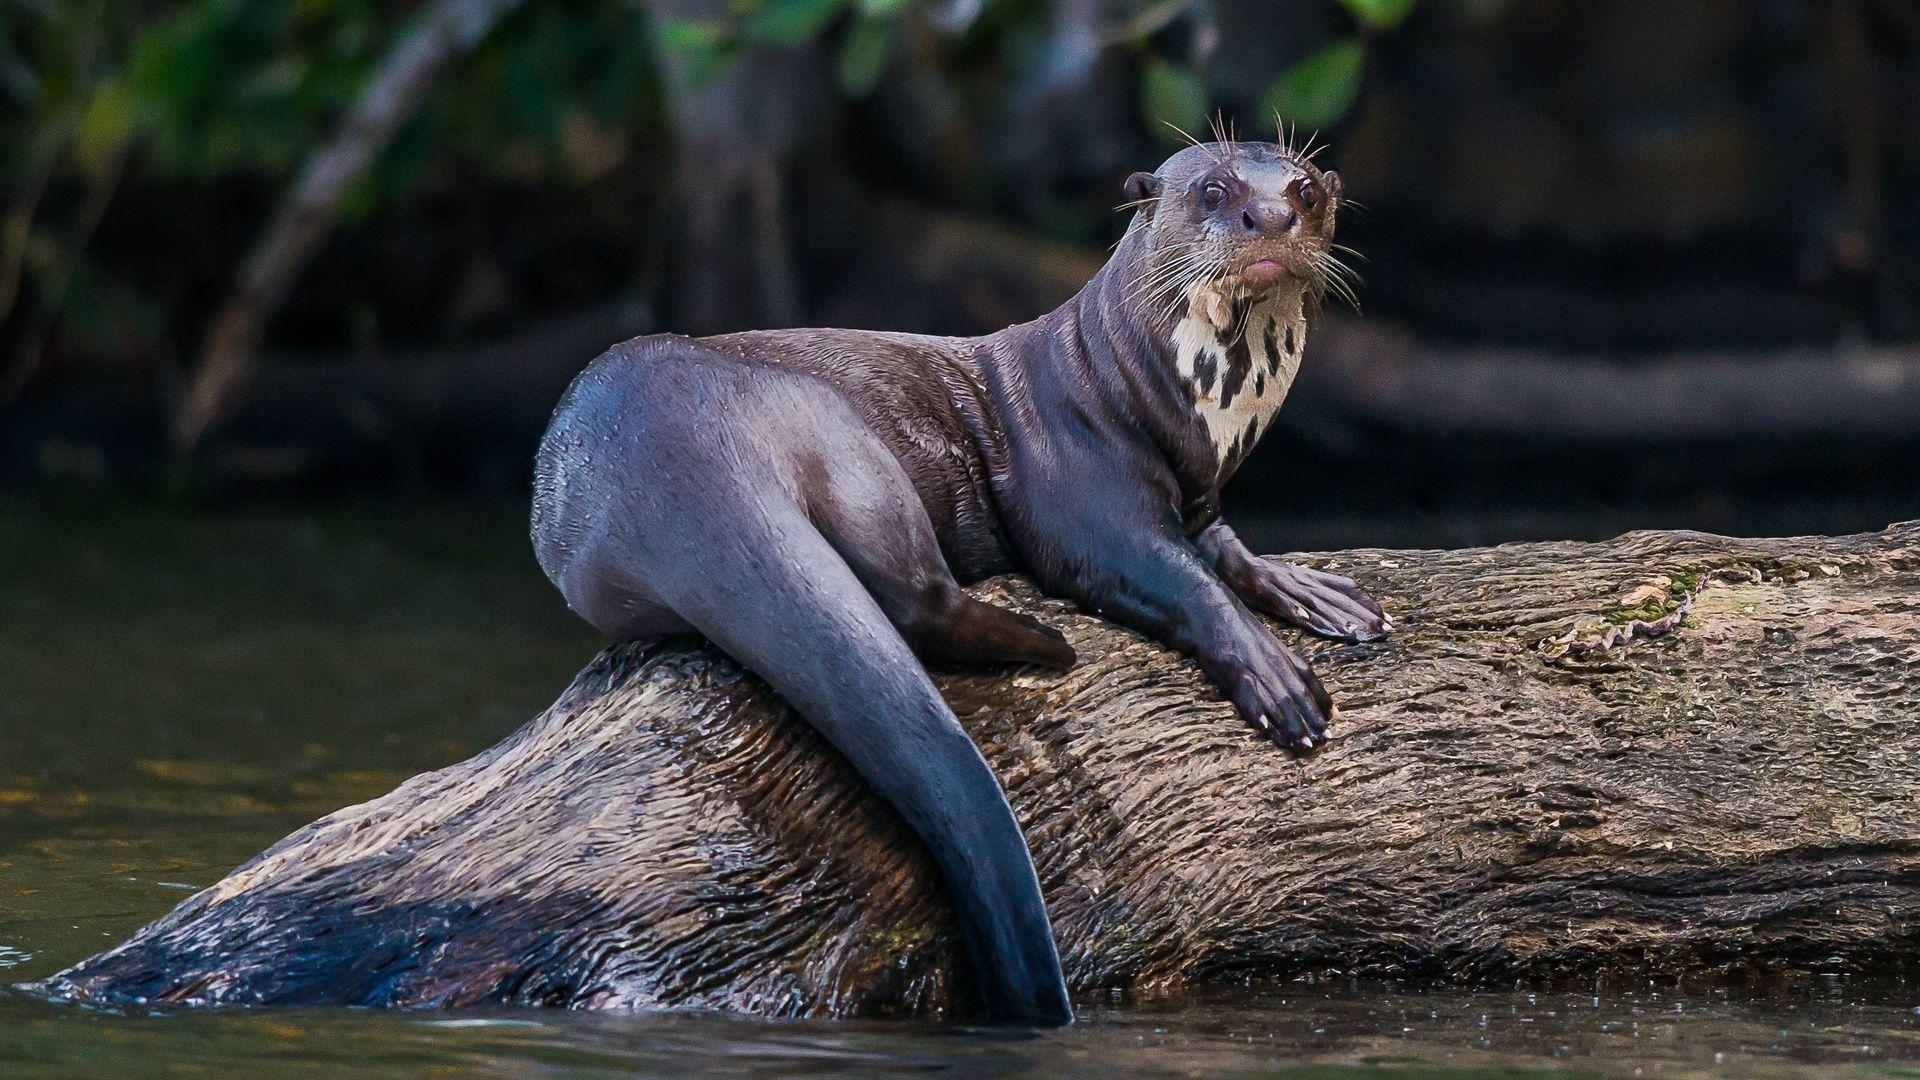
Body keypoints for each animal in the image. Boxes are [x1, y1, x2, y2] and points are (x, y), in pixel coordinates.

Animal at [531, 138, 1387, 1026]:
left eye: (1304, 189)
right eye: (1214, 191)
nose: (1271, 216)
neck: (1148, 394)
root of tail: (665, 450)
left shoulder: (1201, 495)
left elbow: (1227, 549)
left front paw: (1317, 594)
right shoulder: (1082, 494)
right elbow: (1171, 576)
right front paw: (1276, 677)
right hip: (836, 433)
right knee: (914, 596)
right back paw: (1047, 645)